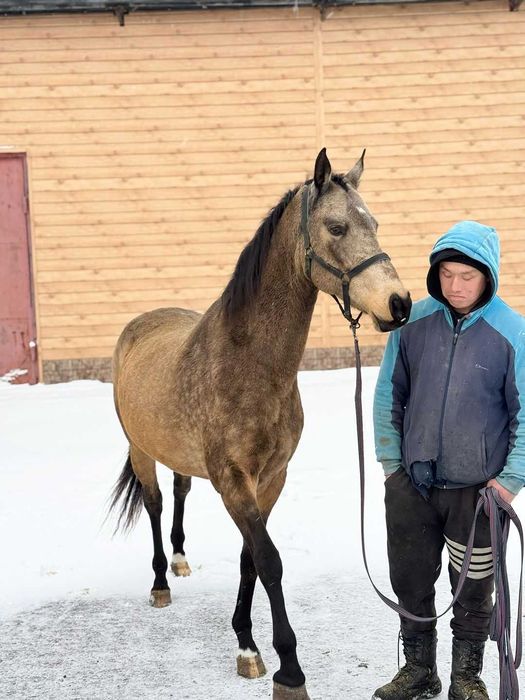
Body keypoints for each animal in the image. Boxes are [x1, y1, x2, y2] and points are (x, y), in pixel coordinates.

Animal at [109, 148, 412, 700]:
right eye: (336, 227)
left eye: (374, 223)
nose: (399, 304)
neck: (247, 365)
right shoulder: (234, 481)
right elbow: (269, 560)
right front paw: (287, 668)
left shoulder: (271, 478)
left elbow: (251, 556)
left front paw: (246, 642)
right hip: (141, 451)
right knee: (156, 504)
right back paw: (161, 581)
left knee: (180, 492)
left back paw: (180, 561)